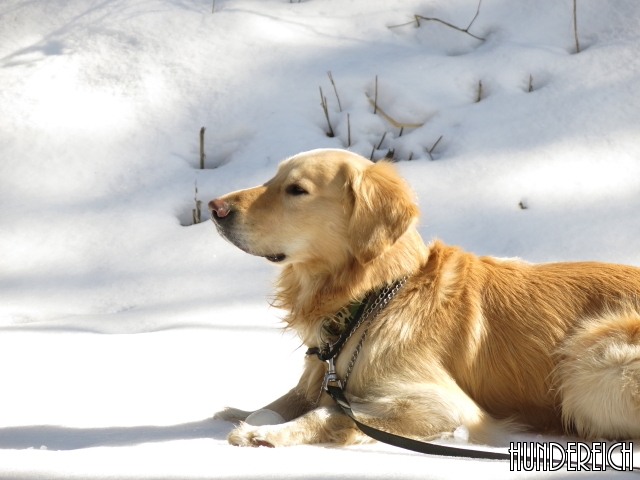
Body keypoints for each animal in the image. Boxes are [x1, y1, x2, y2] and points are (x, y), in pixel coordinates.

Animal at [210, 148, 640, 448]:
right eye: (272, 178)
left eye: (296, 190)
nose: (215, 208)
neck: (370, 299)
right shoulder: (320, 372)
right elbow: (287, 400)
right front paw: (247, 416)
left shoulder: (445, 405)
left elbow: (332, 413)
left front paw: (264, 435)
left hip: (590, 362)